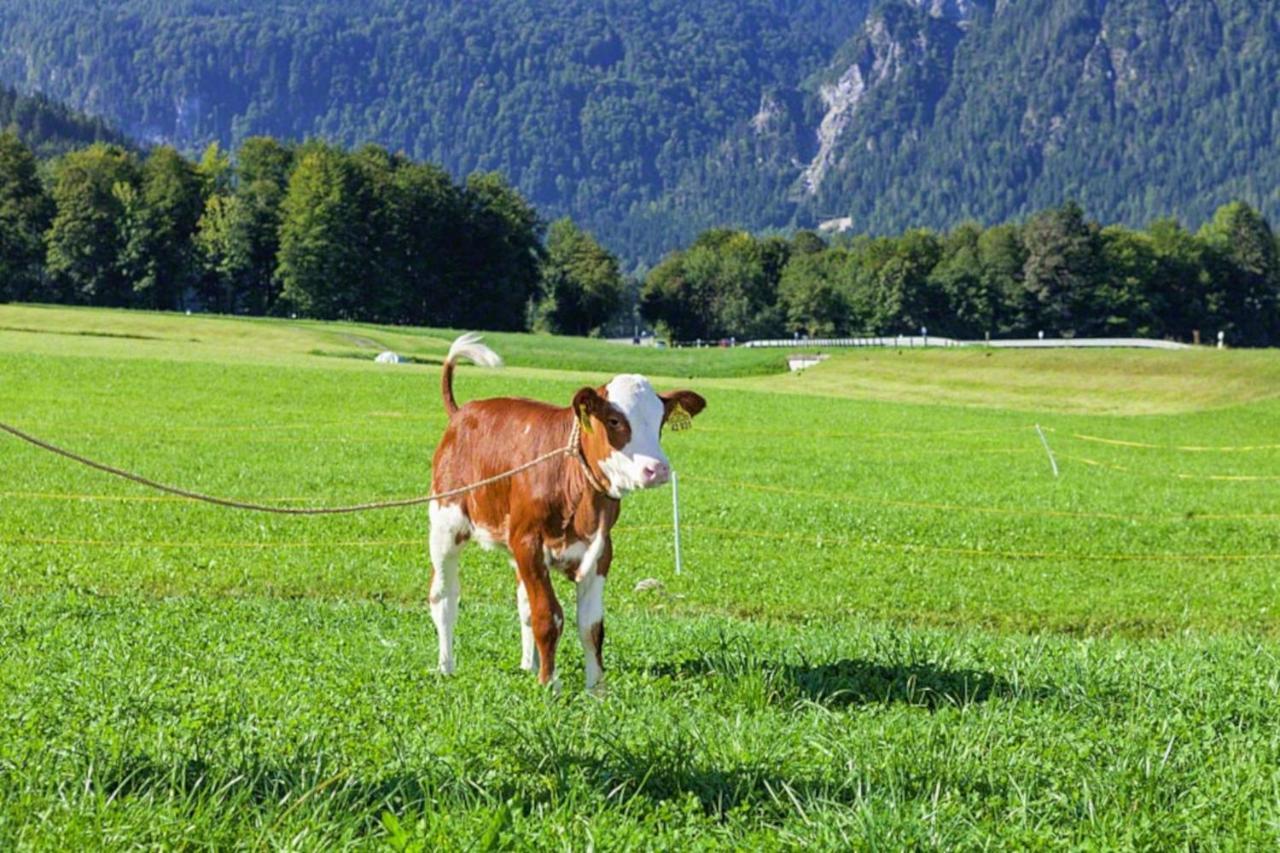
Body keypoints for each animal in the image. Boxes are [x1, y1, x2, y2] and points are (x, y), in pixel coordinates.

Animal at [424, 327, 706, 686]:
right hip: (446, 524)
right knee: (444, 596)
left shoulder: (600, 551)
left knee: (522, 603)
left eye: (660, 421)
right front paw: (549, 685)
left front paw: (596, 689)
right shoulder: (528, 543)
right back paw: (446, 667)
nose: (656, 469)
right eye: (614, 420)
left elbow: (591, 626)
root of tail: (462, 412)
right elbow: (548, 616)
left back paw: (527, 665)